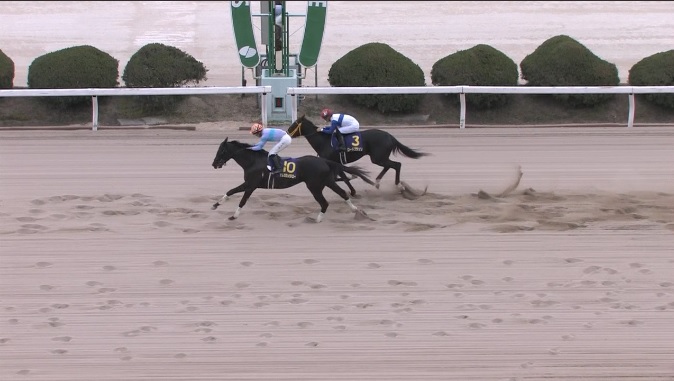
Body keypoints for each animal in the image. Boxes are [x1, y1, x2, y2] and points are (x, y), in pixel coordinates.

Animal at [210, 137, 372, 221]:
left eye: (221, 151)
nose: (214, 164)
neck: (252, 161)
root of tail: (324, 161)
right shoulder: (248, 184)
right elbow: (230, 191)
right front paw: (215, 205)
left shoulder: (251, 185)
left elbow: (242, 200)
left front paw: (234, 215)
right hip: (327, 181)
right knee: (342, 193)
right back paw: (356, 210)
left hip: (314, 186)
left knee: (324, 202)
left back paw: (317, 219)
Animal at [286, 114, 428, 194]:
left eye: (294, 124)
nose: (286, 132)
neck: (323, 141)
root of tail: (390, 136)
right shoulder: (336, 164)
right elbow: (343, 177)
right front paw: (353, 186)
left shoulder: (334, 162)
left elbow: (343, 177)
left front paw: (353, 188)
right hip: (379, 157)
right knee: (389, 165)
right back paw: (377, 182)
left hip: (378, 157)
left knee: (396, 165)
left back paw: (398, 185)